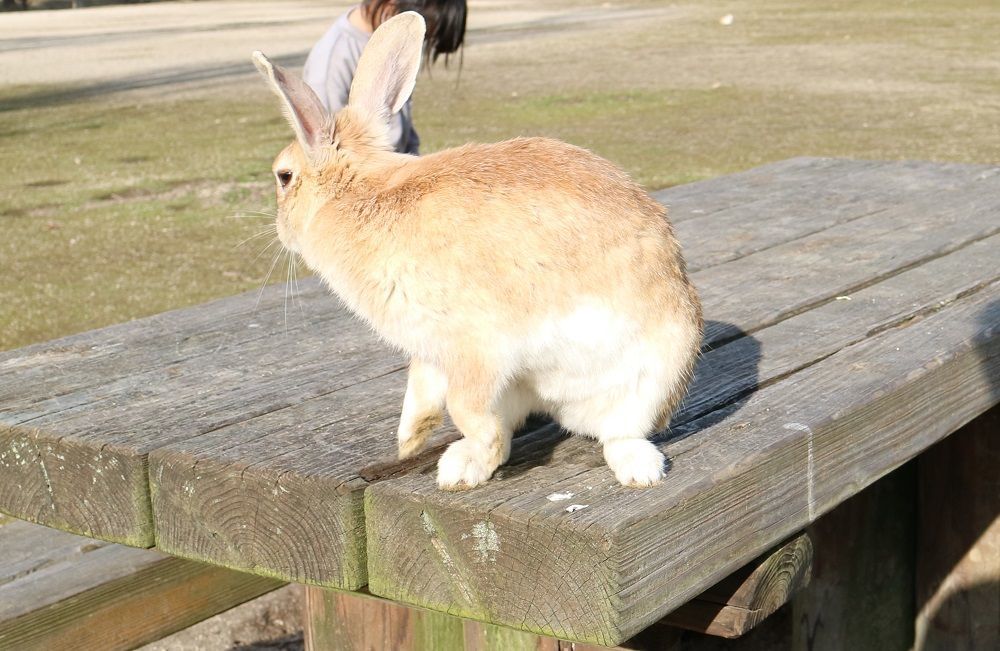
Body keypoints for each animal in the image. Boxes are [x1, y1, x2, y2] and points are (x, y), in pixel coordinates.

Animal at [250, 11, 704, 488]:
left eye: (283, 176)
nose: (280, 230)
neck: (360, 194)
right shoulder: (429, 350)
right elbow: (423, 390)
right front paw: (408, 441)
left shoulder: (473, 347)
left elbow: (466, 407)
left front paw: (452, 470)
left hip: (656, 373)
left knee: (619, 433)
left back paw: (635, 471)